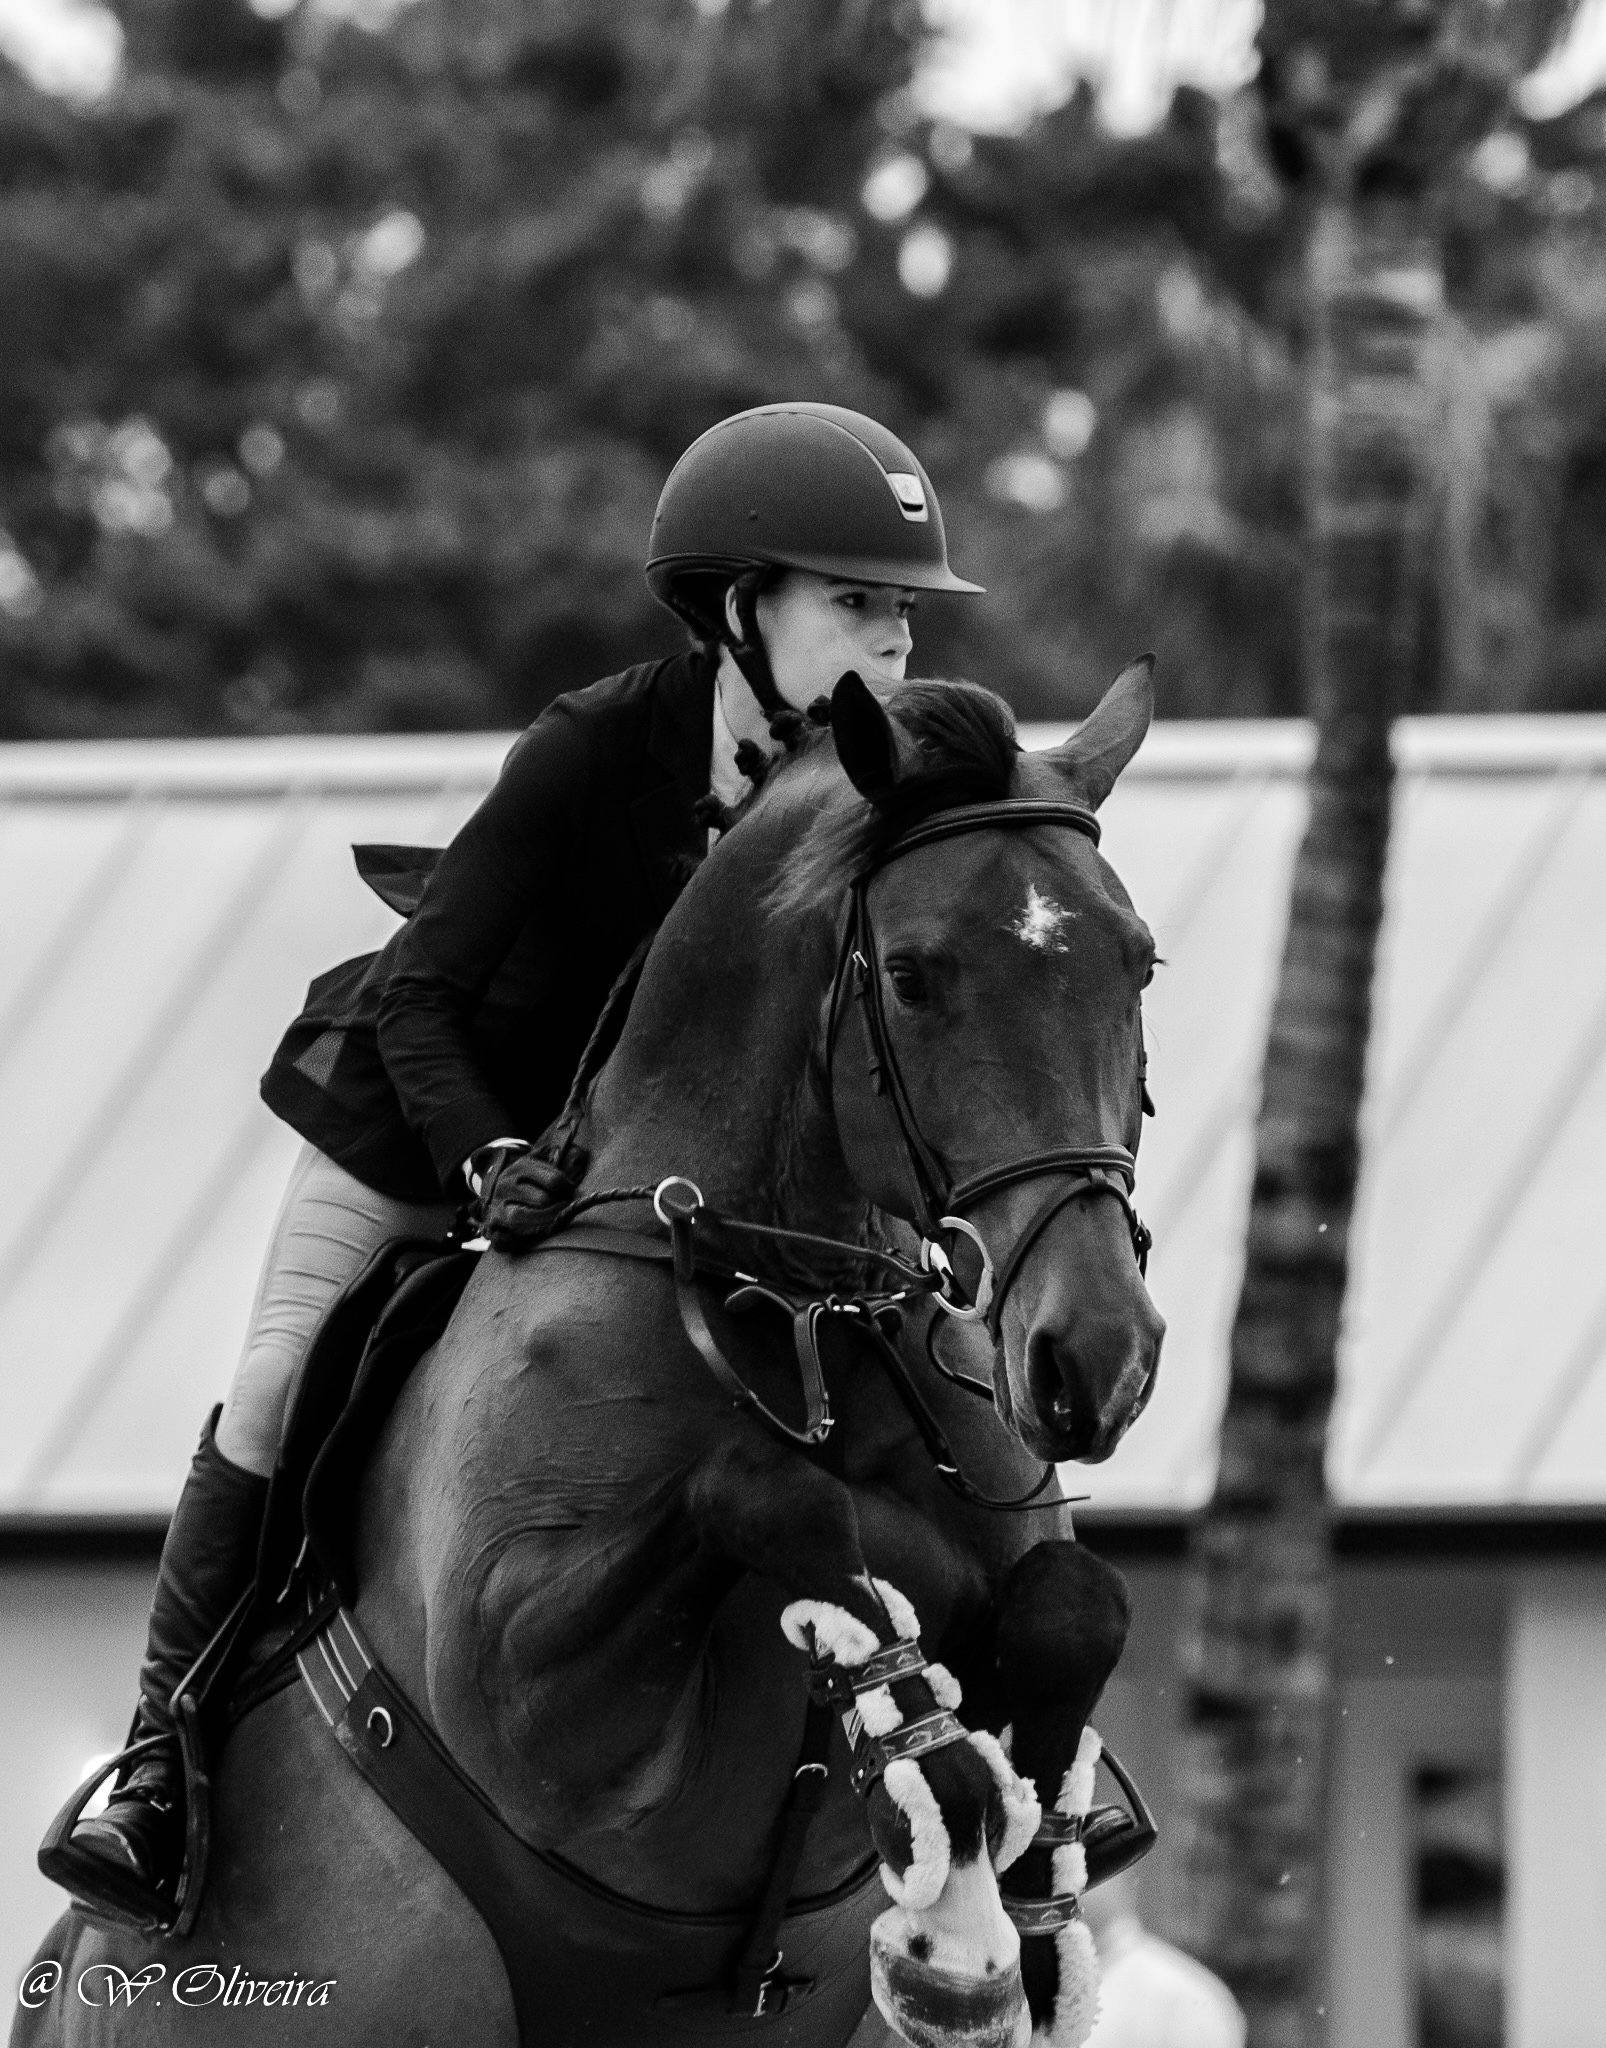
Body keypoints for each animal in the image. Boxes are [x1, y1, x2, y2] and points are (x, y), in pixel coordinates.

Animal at [15, 663, 1163, 2048]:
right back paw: (132, 1834)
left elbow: (1076, 1604)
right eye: (911, 974)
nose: (1097, 1359)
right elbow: (766, 1495)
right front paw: (934, 1785)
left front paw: (1020, 1904)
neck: (793, 1304)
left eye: (1140, 963)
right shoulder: (531, 1682)